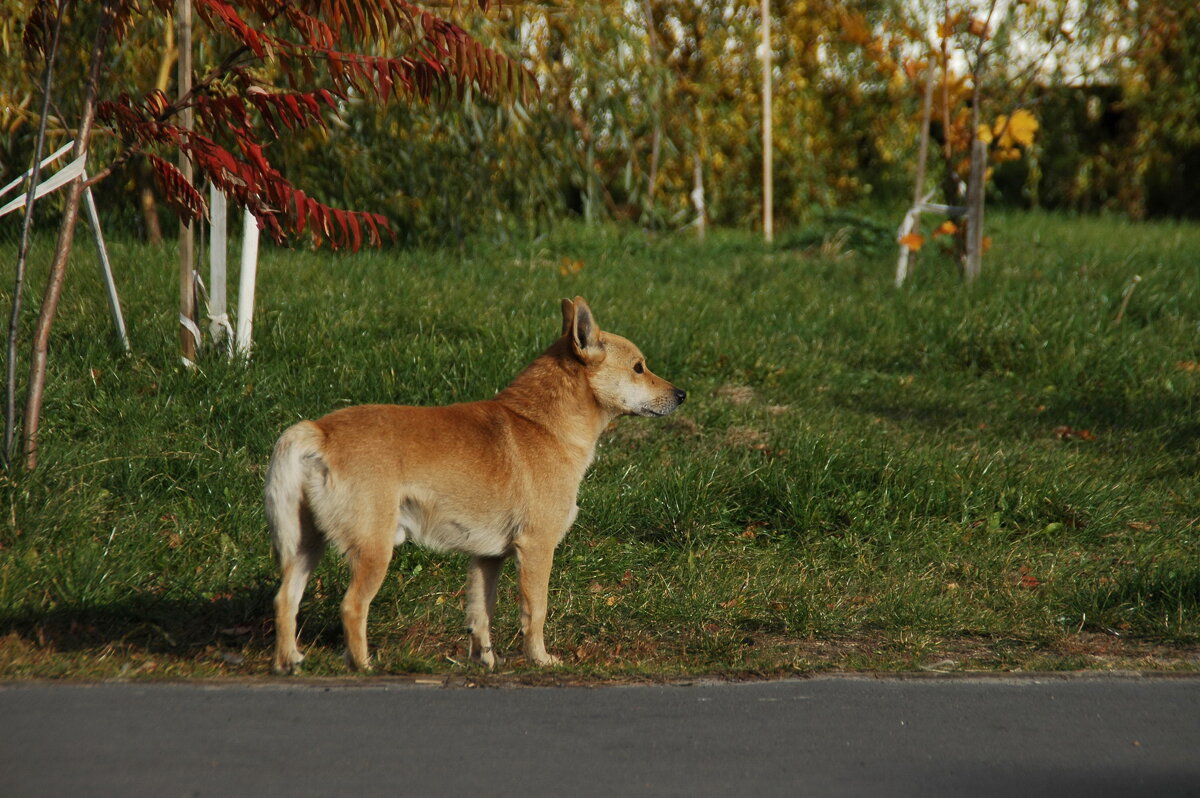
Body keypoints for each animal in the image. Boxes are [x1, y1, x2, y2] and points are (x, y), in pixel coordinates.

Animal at [270, 295, 686, 667]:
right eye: (638, 367)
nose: (682, 394)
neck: (542, 424)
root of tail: (320, 431)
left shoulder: (487, 558)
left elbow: (480, 614)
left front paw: (485, 661)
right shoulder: (536, 549)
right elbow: (535, 611)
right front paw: (540, 659)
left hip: (307, 546)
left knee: (285, 600)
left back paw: (289, 661)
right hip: (374, 551)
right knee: (352, 607)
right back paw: (363, 665)